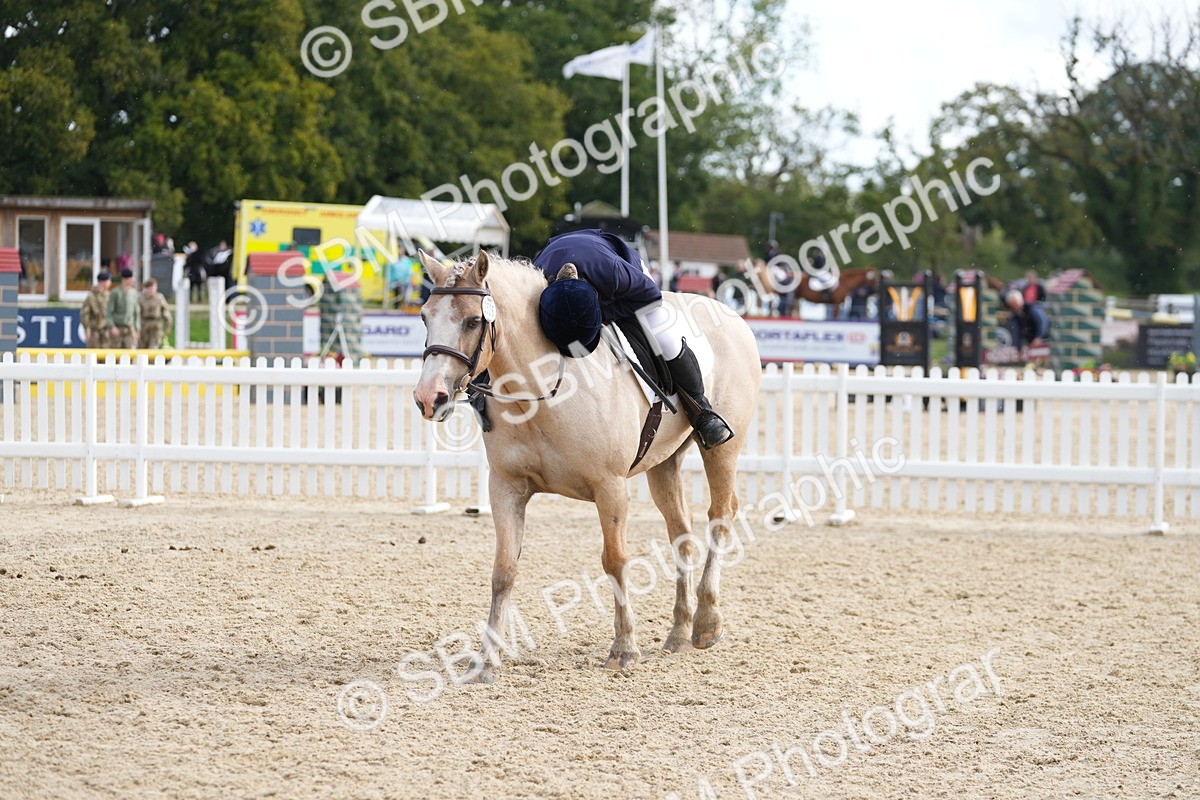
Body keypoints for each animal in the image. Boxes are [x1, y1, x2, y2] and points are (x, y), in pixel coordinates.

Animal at [412, 250, 762, 681]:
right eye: (424, 317)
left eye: (473, 321)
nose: (429, 397)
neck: (541, 389)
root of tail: (733, 316)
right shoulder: (506, 488)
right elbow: (504, 570)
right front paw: (487, 660)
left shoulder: (610, 487)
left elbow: (615, 561)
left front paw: (624, 649)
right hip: (664, 462)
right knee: (681, 531)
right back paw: (680, 631)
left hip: (721, 451)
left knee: (721, 515)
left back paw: (707, 622)